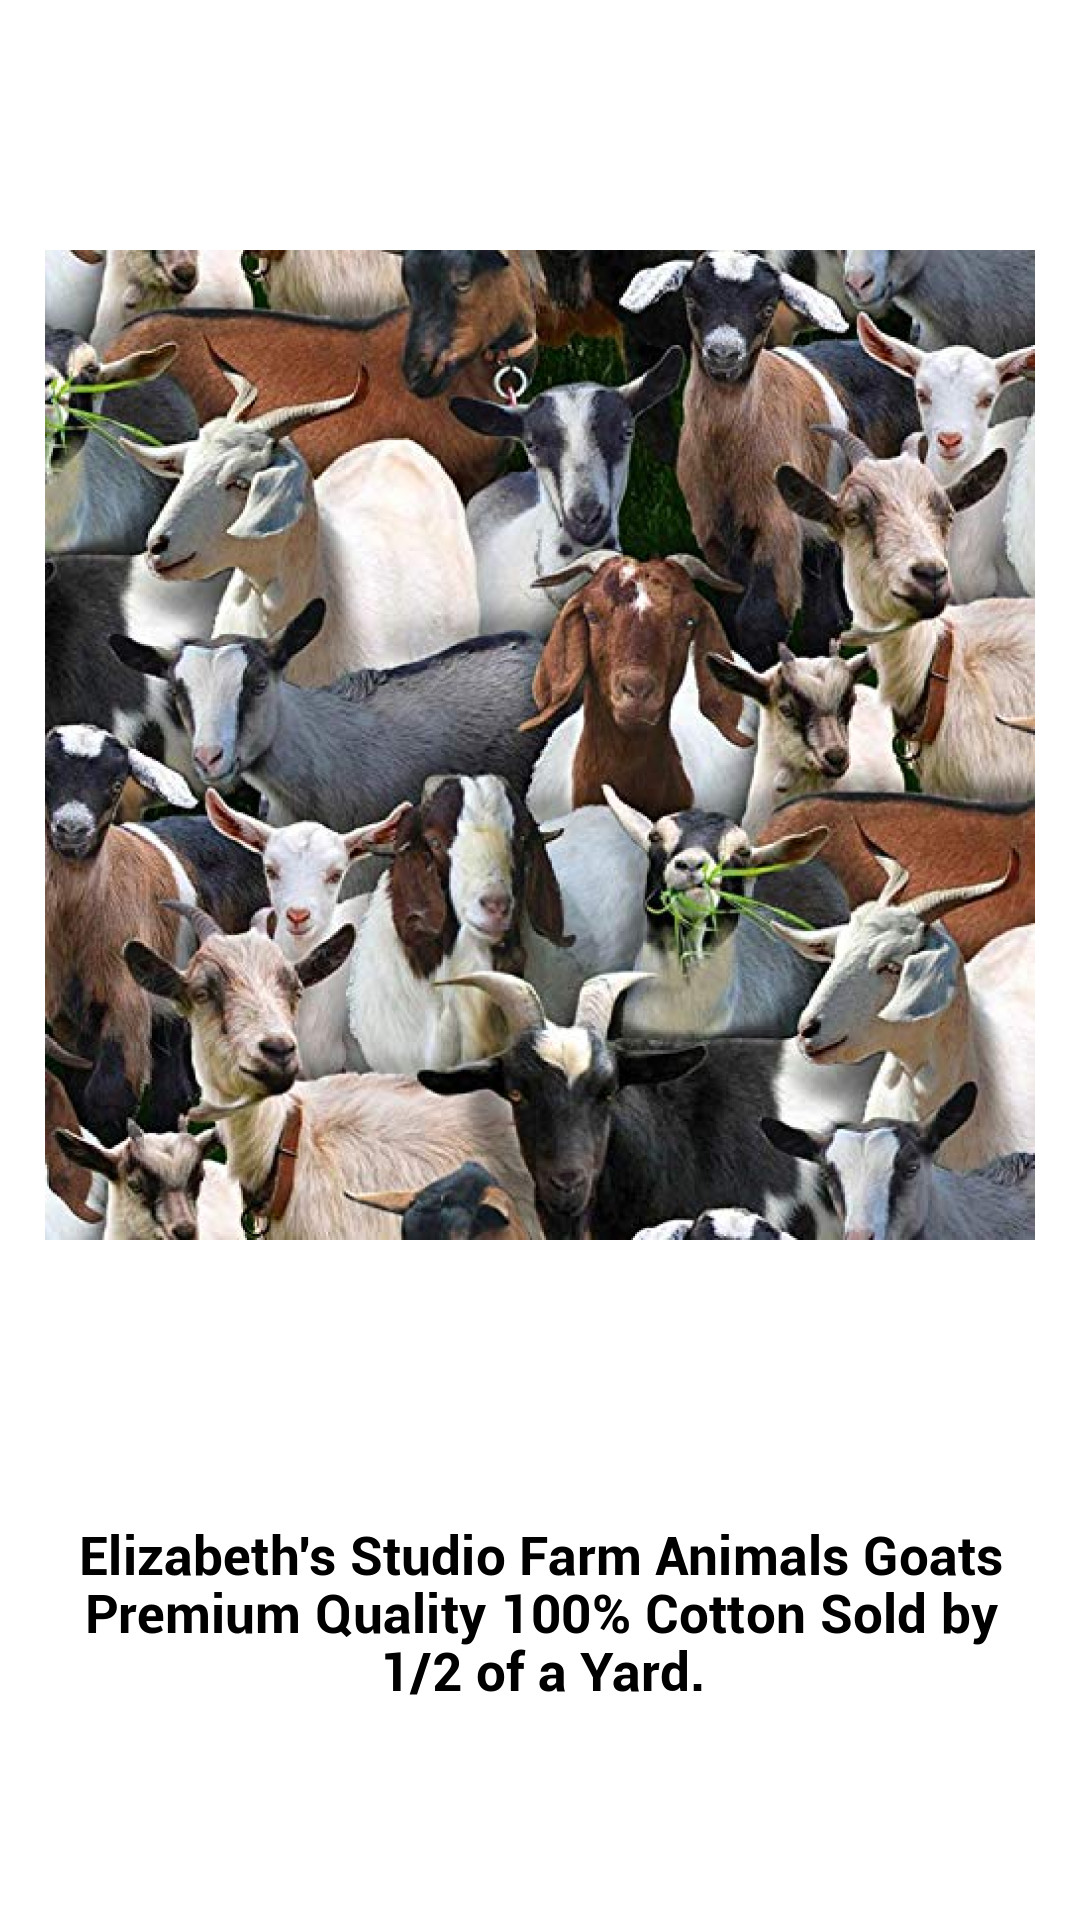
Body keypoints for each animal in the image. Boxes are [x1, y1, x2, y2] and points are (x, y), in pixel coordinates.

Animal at [45, 726, 267, 1141]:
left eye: (116, 784)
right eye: (46, 776)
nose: (71, 829)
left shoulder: (126, 1000)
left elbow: (109, 1096)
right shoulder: (66, 1017)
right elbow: (77, 1093)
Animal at [621, 252, 919, 665]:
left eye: (766, 309)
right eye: (692, 302)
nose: (724, 353)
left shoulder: (776, 523)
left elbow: (760, 620)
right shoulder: (714, 531)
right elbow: (731, 613)